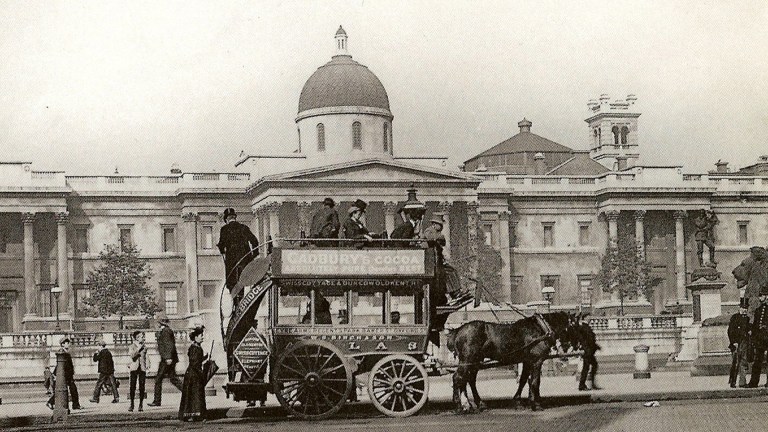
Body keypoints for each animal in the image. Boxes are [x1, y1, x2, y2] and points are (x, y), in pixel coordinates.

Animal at [444, 310, 576, 412]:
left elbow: (524, 381)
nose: (566, 351)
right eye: (574, 326)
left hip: (475, 361)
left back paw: (476, 404)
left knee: (469, 379)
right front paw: (536, 404)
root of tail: (458, 330)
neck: (540, 328)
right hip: (467, 360)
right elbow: (535, 382)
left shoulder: (527, 361)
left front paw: (520, 401)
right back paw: (459, 406)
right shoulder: (536, 361)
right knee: (458, 378)